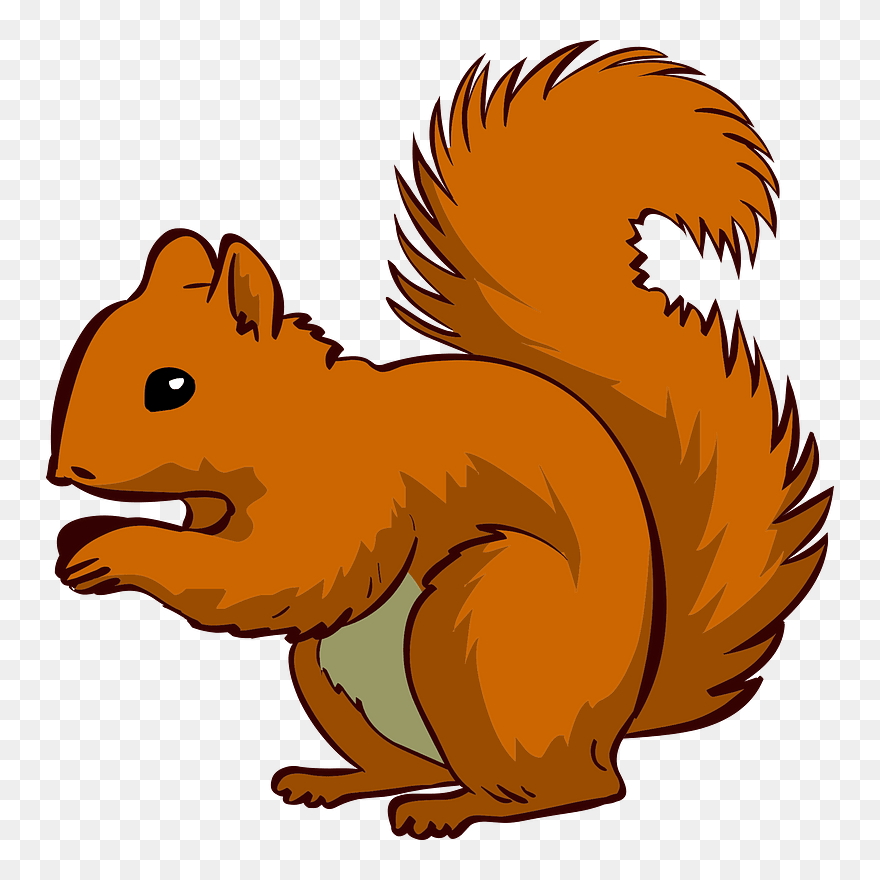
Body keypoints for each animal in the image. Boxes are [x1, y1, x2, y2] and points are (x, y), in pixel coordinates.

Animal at [48, 43, 832, 839]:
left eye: (171, 387)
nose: (63, 470)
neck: (295, 422)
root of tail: (617, 720)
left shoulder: (351, 496)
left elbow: (277, 576)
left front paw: (112, 547)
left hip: (479, 626)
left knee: (572, 789)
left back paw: (455, 809)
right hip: (328, 671)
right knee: (420, 766)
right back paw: (341, 782)